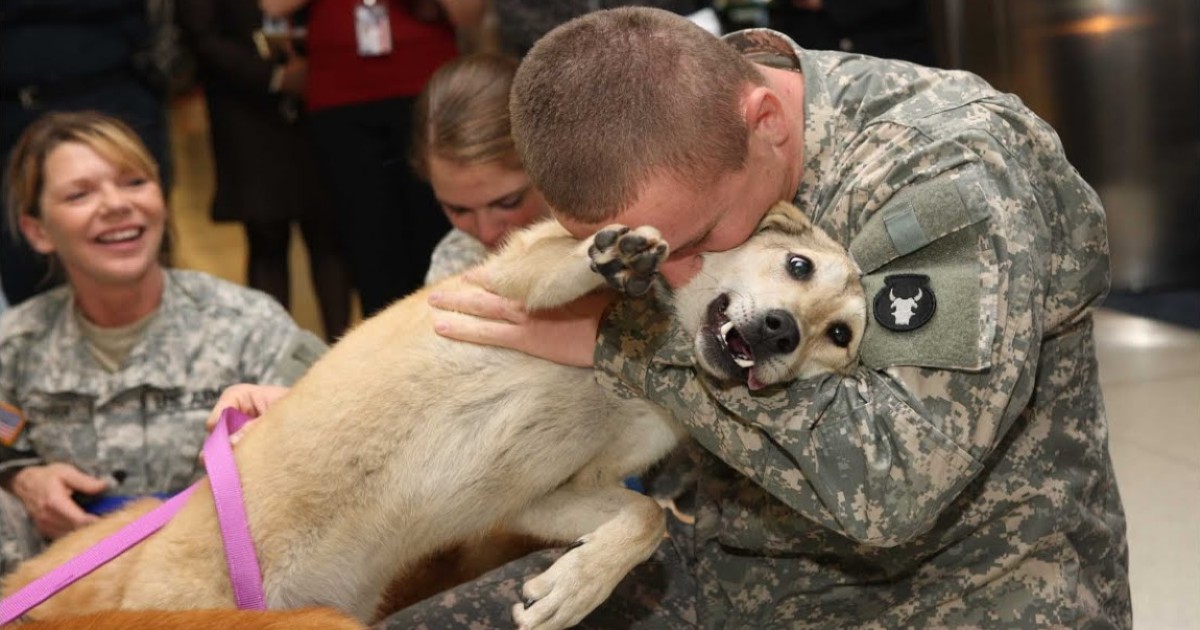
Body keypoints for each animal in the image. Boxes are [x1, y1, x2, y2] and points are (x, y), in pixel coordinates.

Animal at [2, 201, 864, 628]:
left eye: (842, 336)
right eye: (797, 266)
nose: (781, 333)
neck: (638, 376)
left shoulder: (541, 497)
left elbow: (643, 519)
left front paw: (574, 588)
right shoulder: (503, 284)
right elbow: (561, 265)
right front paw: (614, 258)